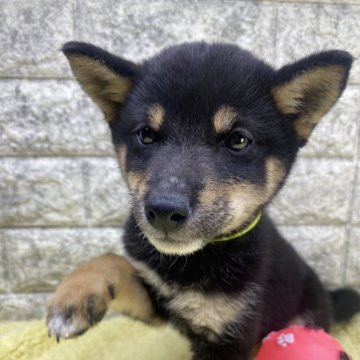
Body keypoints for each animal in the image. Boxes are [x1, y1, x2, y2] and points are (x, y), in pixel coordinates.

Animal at [47, 41, 360, 358]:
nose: (164, 211)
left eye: (238, 140)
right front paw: (74, 295)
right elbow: (111, 260)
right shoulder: (156, 303)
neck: (189, 263)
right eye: (146, 134)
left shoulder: (230, 334)